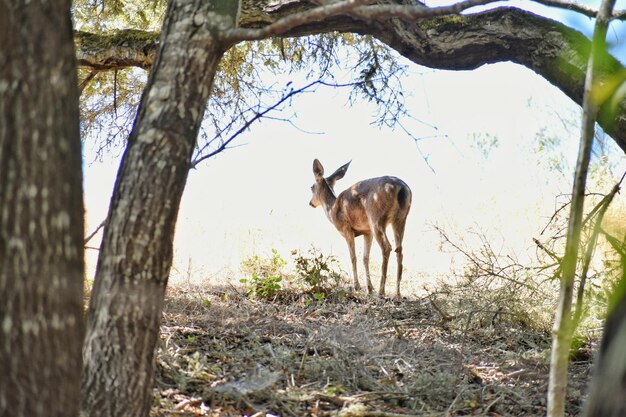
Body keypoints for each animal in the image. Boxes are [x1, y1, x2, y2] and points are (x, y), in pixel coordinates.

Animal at [308, 158, 410, 298]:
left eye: (311, 187)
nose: (310, 203)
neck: (331, 210)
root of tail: (402, 188)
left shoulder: (347, 228)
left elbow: (353, 257)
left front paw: (357, 286)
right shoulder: (367, 231)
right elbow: (365, 258)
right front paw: (369, 288)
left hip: (376, 218)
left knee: (387, 247)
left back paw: (381, 291)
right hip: (401, 219)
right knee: (399, 249)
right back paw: (397, 293)